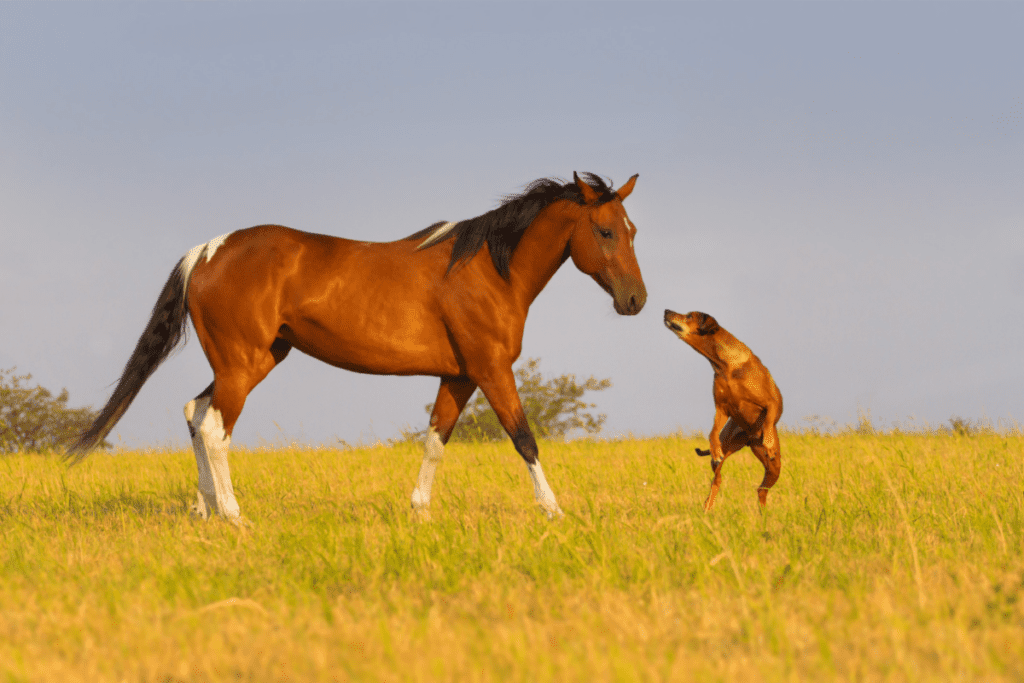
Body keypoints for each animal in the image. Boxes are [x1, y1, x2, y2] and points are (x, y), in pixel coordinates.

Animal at [70, 174, 647, 520]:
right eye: (604, 231)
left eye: (633, 229)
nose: (636, 300)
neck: (486, 268)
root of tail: (209, 250)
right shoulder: (491, 370)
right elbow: (524, 438)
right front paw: (555, 512)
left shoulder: (459, 376)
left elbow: (436, 441)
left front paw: (420, 513)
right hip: (242, 363)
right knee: (214, 427)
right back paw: (235, 517)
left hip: (256, 359)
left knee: (195, 412)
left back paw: (204, 508)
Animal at [663, 313, 782, 509]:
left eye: (689, 316)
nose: (666, 311)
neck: (725, 365)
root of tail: (748, 439)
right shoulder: (722, 408)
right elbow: (712, 432)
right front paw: (714, 446)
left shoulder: (770, 403)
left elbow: (769, 420)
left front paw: (769, 442)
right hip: (725, 451)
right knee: (717, 479)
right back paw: (708, 506)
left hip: (774, 467)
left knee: (761, 489)